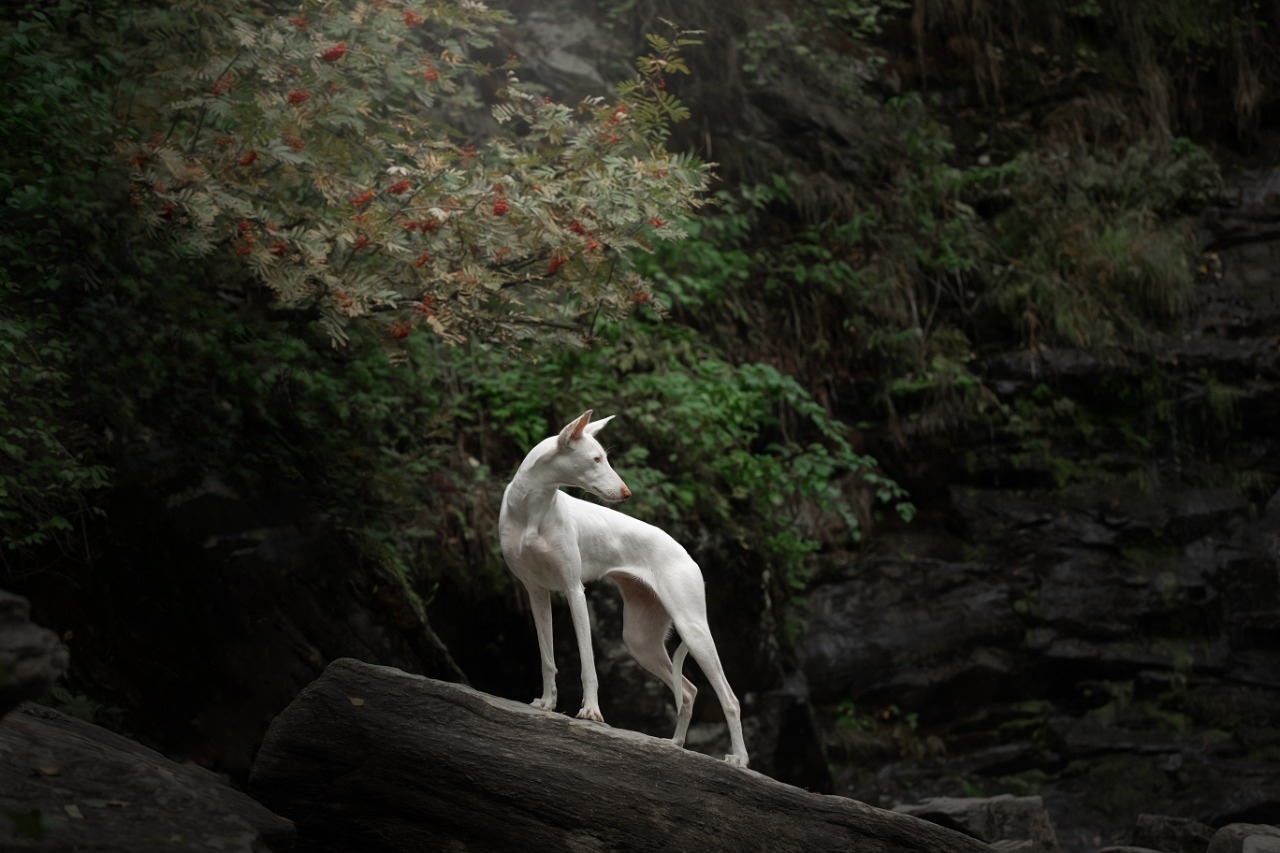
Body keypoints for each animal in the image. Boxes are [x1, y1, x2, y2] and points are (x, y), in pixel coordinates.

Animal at [499, 407, 747, 763]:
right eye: (596, 458)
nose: (627, 492)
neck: (533, 510)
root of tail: (687, 555)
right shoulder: (536, 592)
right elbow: (547, 658)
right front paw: (547, 702)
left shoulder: (574, 590)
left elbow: (588, 663)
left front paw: (590, 711)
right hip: (640, 639)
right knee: (688, 690)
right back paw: (674, 744)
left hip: (694, 629)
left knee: (729, 698)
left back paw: (739, 758)